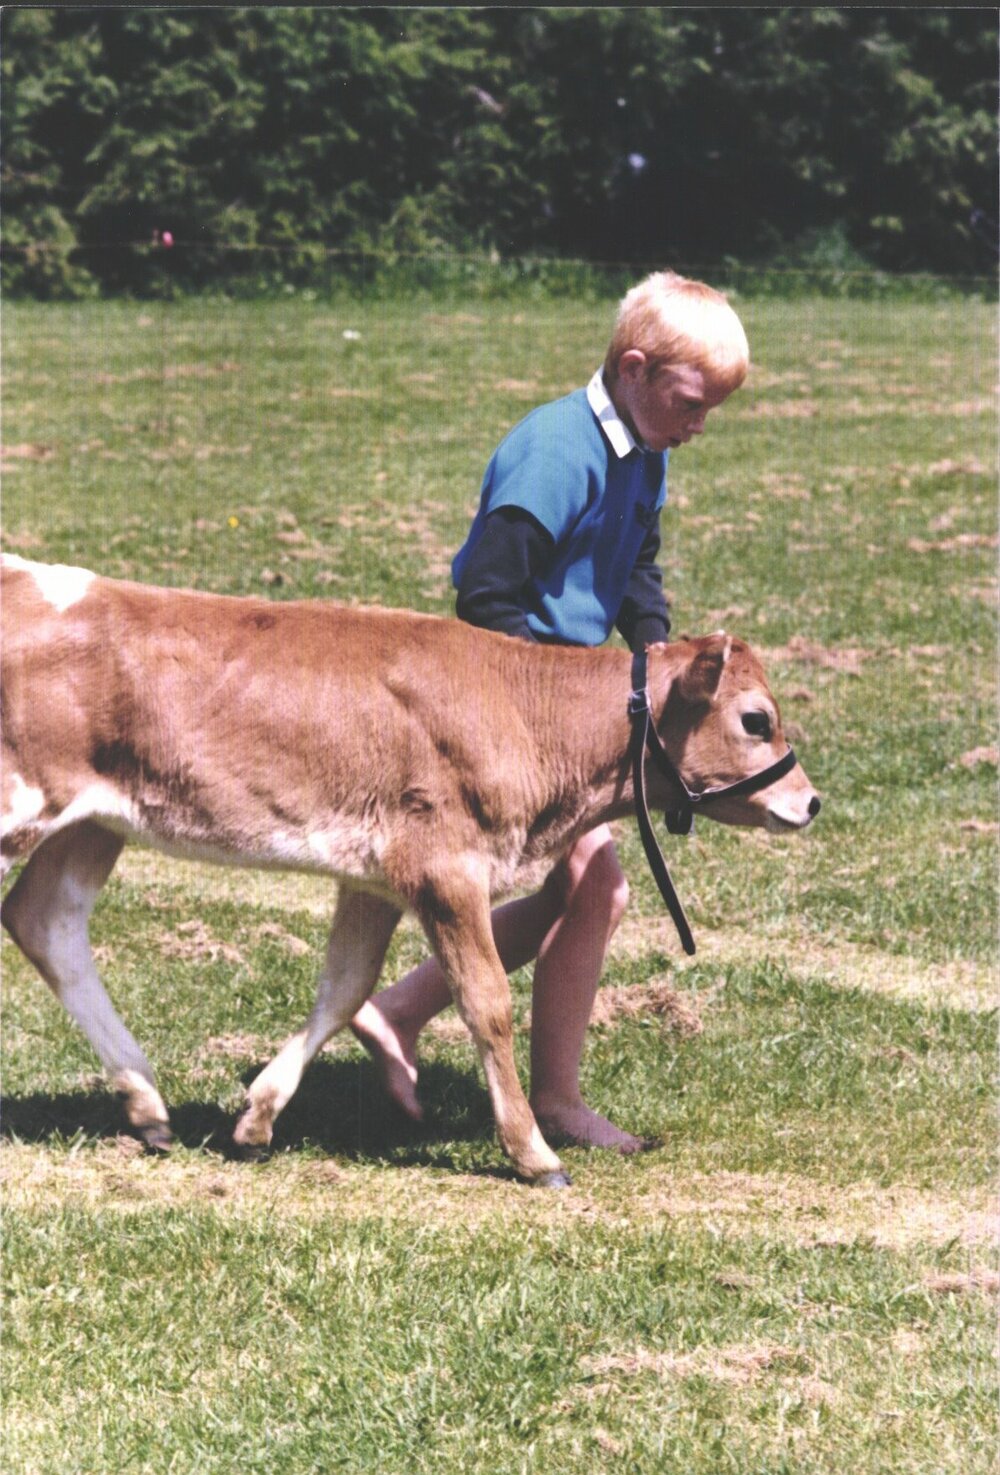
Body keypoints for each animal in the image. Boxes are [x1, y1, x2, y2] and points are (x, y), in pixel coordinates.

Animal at [0, 555, 820, 1185]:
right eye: (755, 719)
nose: (810, 801)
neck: (522, 708)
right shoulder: (446, 867)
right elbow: (487, 1001)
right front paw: (533, 1153)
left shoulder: (375, 877)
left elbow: (344, 987)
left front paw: (259, 1119)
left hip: (94, 823)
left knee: (45, 920)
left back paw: (147, 1105)